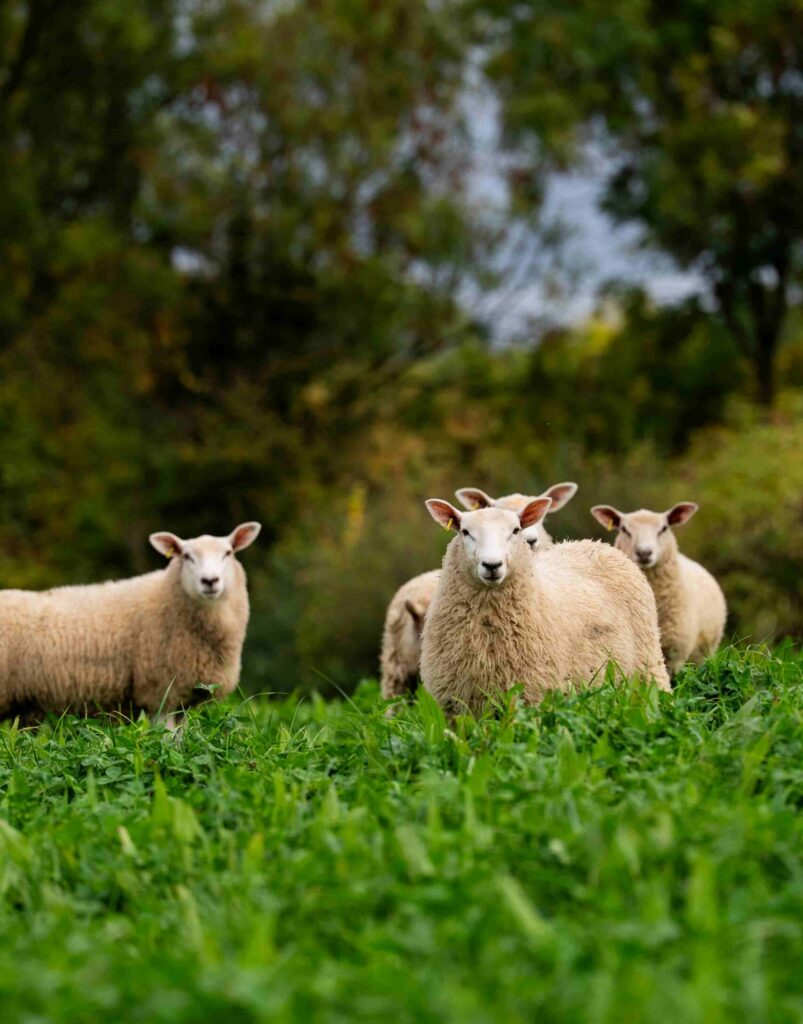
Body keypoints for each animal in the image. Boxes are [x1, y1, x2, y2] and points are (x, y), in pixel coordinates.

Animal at [420, 498, 670, 715]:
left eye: (515, 530)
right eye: (465, 532)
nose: (492, 565)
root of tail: (595, 544)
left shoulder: (534, 696)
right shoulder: (455, 707)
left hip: (649, 668)